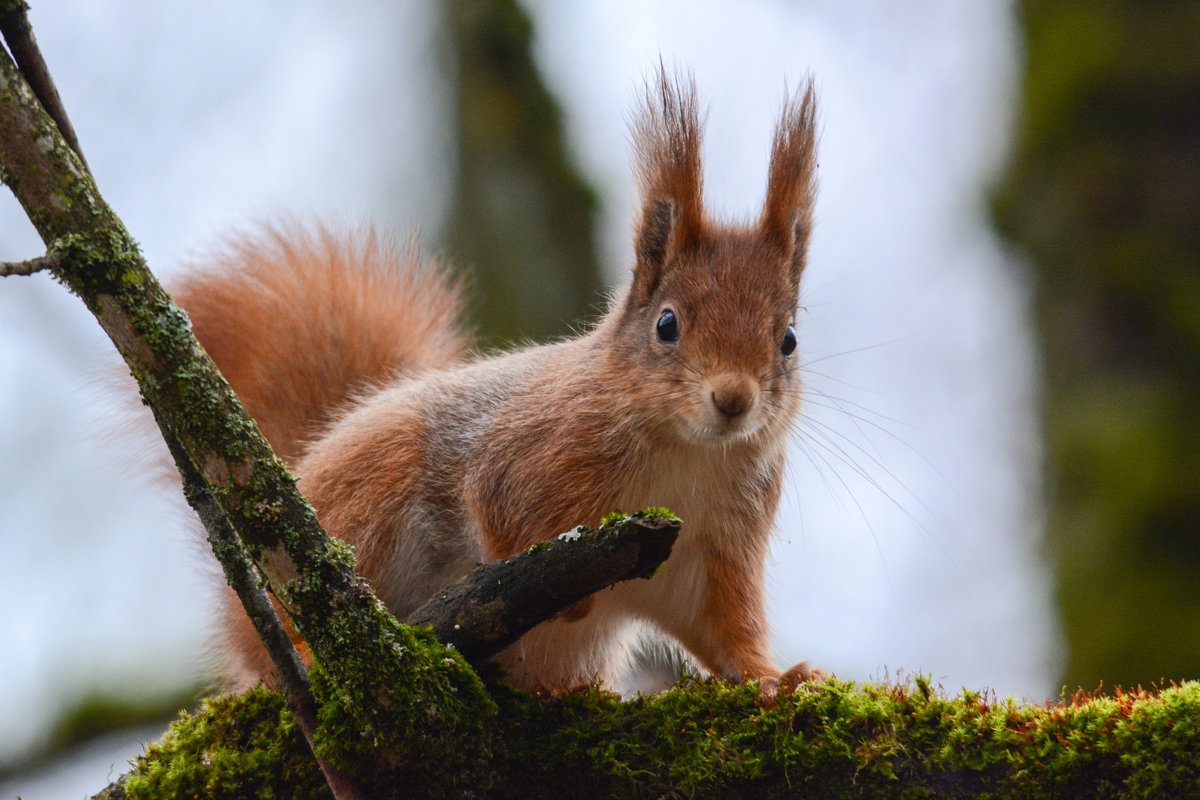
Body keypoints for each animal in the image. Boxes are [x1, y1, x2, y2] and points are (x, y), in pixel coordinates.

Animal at [174, 68, 820, 695]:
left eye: (789, 339)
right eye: (667, 324)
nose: (734, 400)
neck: (687, 454)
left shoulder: (716, 550)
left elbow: (723, 628)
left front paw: (776, 678)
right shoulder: (529, 455)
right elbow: (500, 514)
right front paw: (570, 596)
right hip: (368, 499)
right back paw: (308, 654)